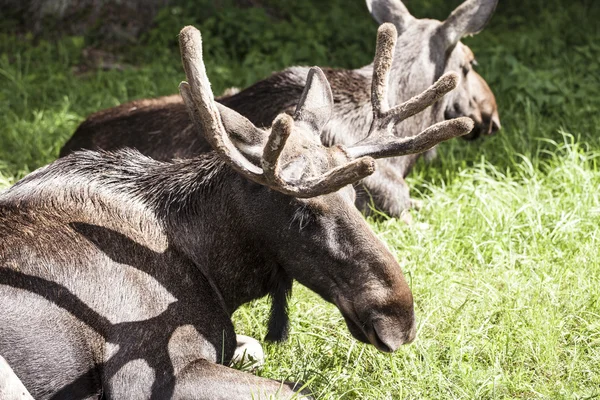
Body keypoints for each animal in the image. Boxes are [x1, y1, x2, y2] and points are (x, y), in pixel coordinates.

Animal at [0, 24, 474, 396]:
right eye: (303, 214)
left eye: (357, 197)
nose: (399, 317)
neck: (217, 272)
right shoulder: (144, 373)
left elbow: (258, 349)